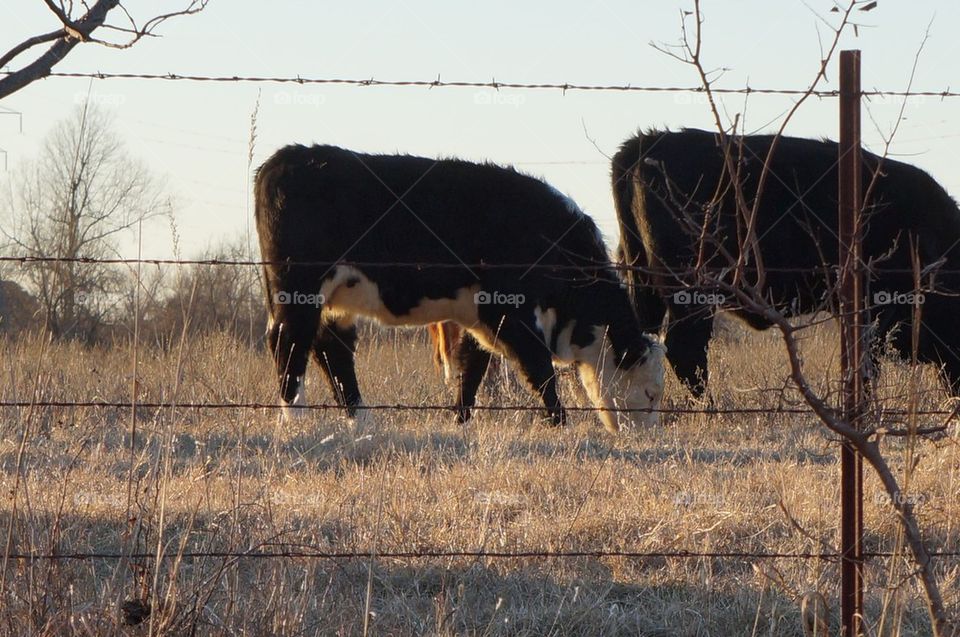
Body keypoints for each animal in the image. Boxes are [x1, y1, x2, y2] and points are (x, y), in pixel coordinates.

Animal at [253, 145, 668, 432]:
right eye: (650, 394)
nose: (644, 434)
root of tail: (290, 155)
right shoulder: (509, 311)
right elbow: (539, 369)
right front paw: (560, 423)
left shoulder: (479, 317)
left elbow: (472, 368)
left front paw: (462, 421)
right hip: (299, 289)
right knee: (290, 342)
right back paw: (295, 419)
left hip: (335, 299)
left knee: (331, 349)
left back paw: (360, 419)